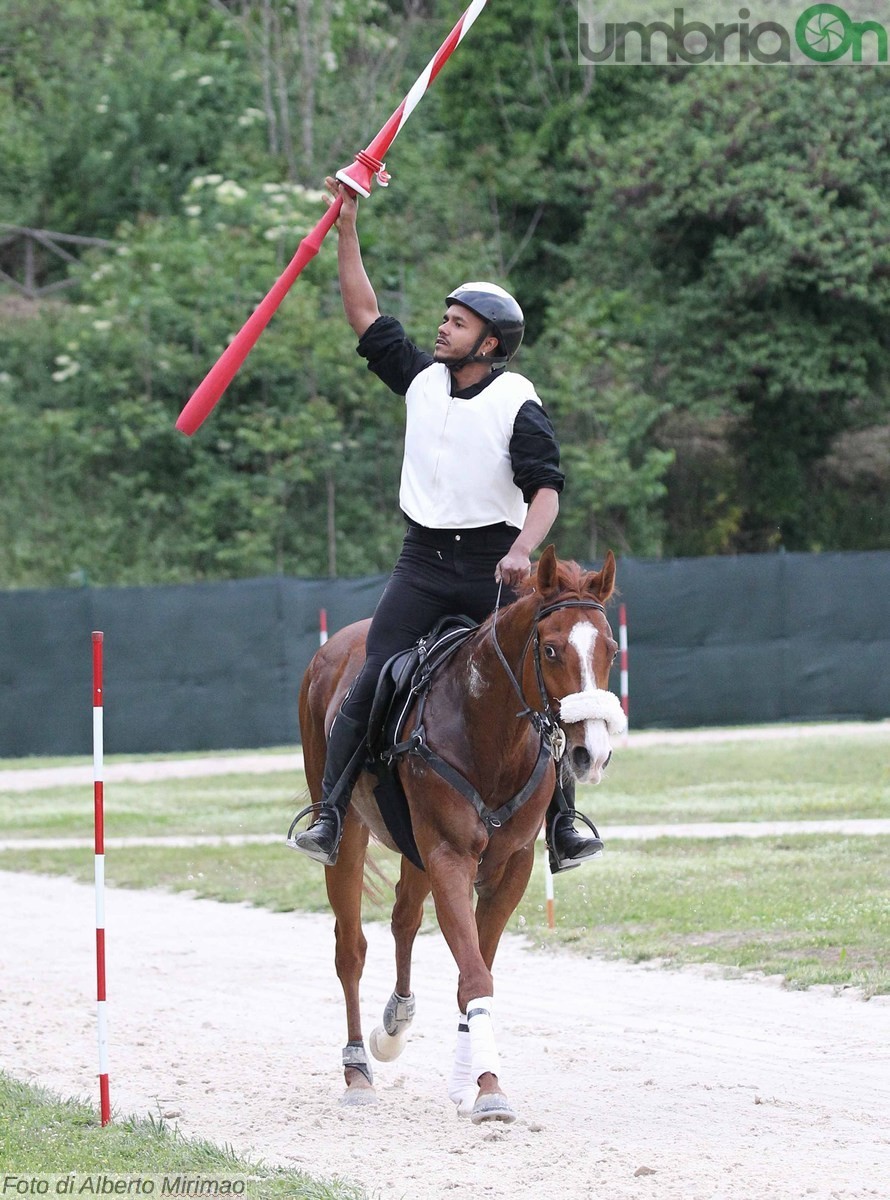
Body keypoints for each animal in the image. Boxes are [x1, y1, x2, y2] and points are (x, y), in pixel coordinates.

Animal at [296, 547, 623, 1123]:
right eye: (552, 649)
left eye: (609, 649)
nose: (592, 753)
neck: (488, 728)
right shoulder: (449, 856)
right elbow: (473, 974)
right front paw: (489, 1087)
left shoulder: (510, 867)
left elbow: (475, 969)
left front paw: (469, 1079)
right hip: (352, 833)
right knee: (350, 949)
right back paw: (358, 1069)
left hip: (415, 852)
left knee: (403, 919)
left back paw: (395, 1024)